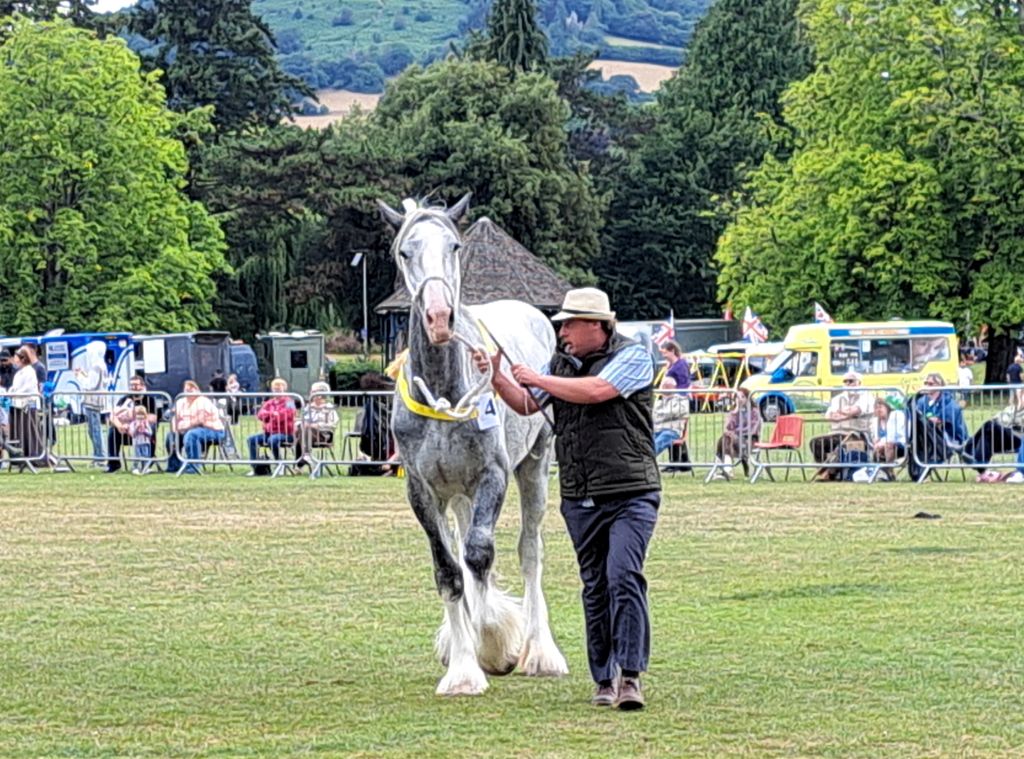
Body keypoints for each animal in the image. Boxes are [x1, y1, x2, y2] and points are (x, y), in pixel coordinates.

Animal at [377, 195, 569, 696]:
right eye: (404, 251)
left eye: (455, 245)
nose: (438, 318)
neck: (445, 392)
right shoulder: (423, 492)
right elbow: (449, 570)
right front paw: (462, 666)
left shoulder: (492, 477)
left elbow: (481, 555)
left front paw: (490, 644)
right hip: (459, 493)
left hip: (534, 469)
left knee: (529, 551)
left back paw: (541, 652)